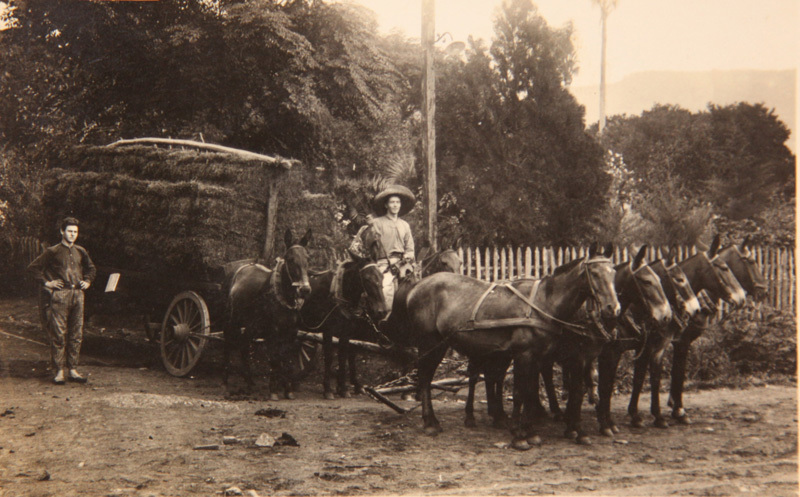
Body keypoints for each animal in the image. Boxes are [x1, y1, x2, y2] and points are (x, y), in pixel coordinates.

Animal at [225, 229, 316, 400]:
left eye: (308, 258)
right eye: (290, 259)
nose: (305, 290)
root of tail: (244, 267)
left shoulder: (292, 332)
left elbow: (287, 359)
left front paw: (288, 389)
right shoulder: (273, 332)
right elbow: (275, 358)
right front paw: (274, 390)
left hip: (252, 326)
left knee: (244, 346)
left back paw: (249, 382)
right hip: (233, 321)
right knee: (229, 344)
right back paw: (226, 383)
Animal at [300, 256, 388, 400]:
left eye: (381, 276)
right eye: (366, 278)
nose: (382, 311)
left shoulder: (346, 332)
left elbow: (343, 356)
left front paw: (344, 388)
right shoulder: (328, 331)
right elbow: (330, 357)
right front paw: (328, 389)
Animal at [394, 242, 620, 452]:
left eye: (613, 272)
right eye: (594, 273)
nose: (613, 309)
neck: (543, 303)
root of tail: (417, 286)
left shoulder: (538, 357)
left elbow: (530, 391)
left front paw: (530, 432)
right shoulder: (525, 355)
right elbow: (521, 392)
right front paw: (519, 436)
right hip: (430, 343)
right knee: (425, 377)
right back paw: (430, 422)